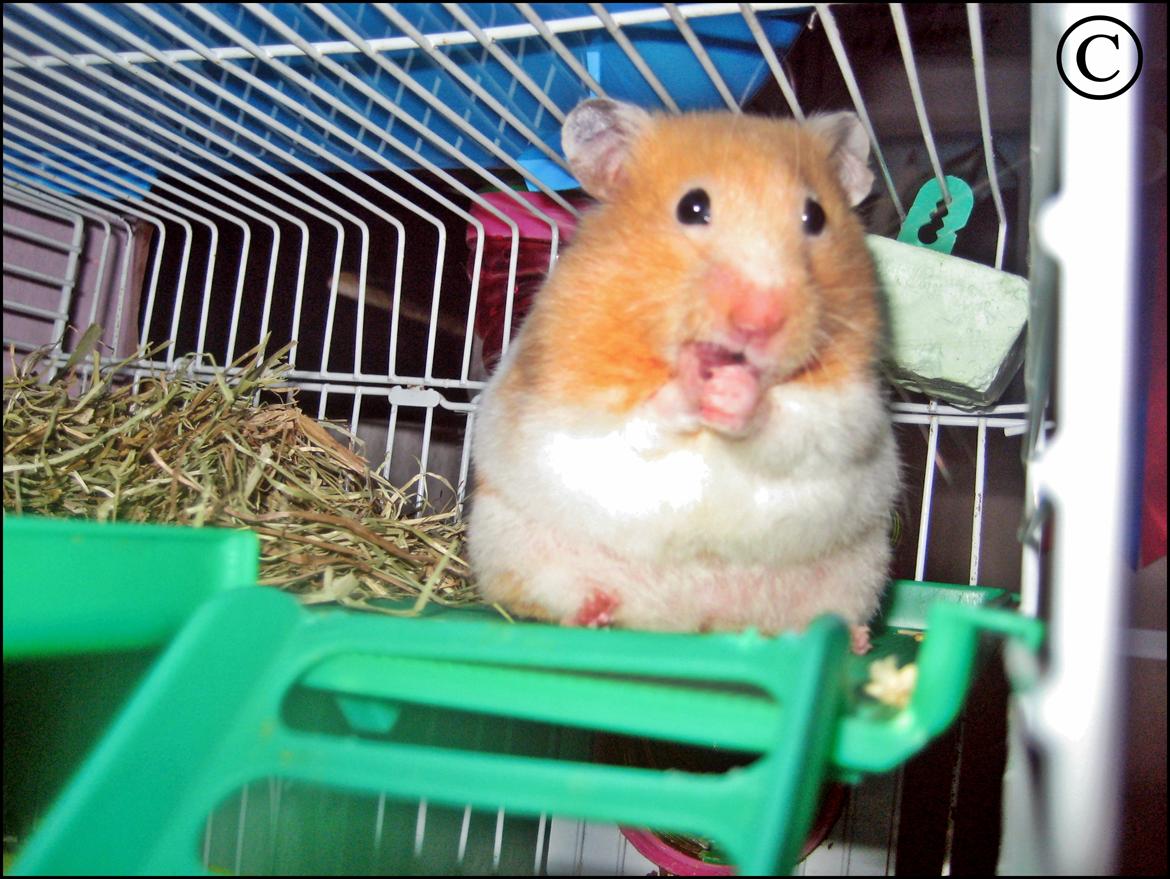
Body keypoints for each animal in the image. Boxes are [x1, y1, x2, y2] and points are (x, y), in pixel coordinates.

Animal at [466, 99, 899, 653]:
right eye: (692, 207)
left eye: (815, 216)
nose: (760, 320)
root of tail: (689, 619)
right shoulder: (570, 395)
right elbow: (634, 422)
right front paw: (695, 382)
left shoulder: (850, 411)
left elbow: (795, 423)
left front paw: (737, 392)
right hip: (507, 541)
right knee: (554, 593)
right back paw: (594, 612)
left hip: (861, 568)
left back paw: (855, 640)